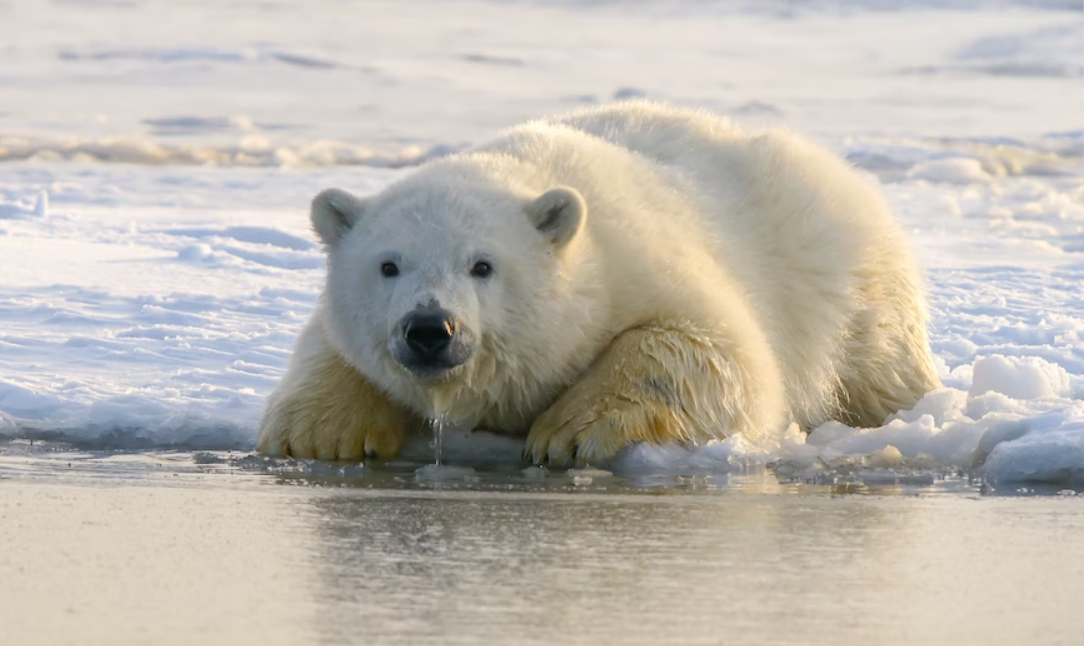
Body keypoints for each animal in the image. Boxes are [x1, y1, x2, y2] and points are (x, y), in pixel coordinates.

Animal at [257, 101, 939, 466]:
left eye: (482, 265)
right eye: (388, 265)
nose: (430, 329)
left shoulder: (641, 263)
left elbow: (718, 353)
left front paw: (566, 432)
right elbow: (328, 344)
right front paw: (320, 433)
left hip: (846, 280)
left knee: (879, 366)